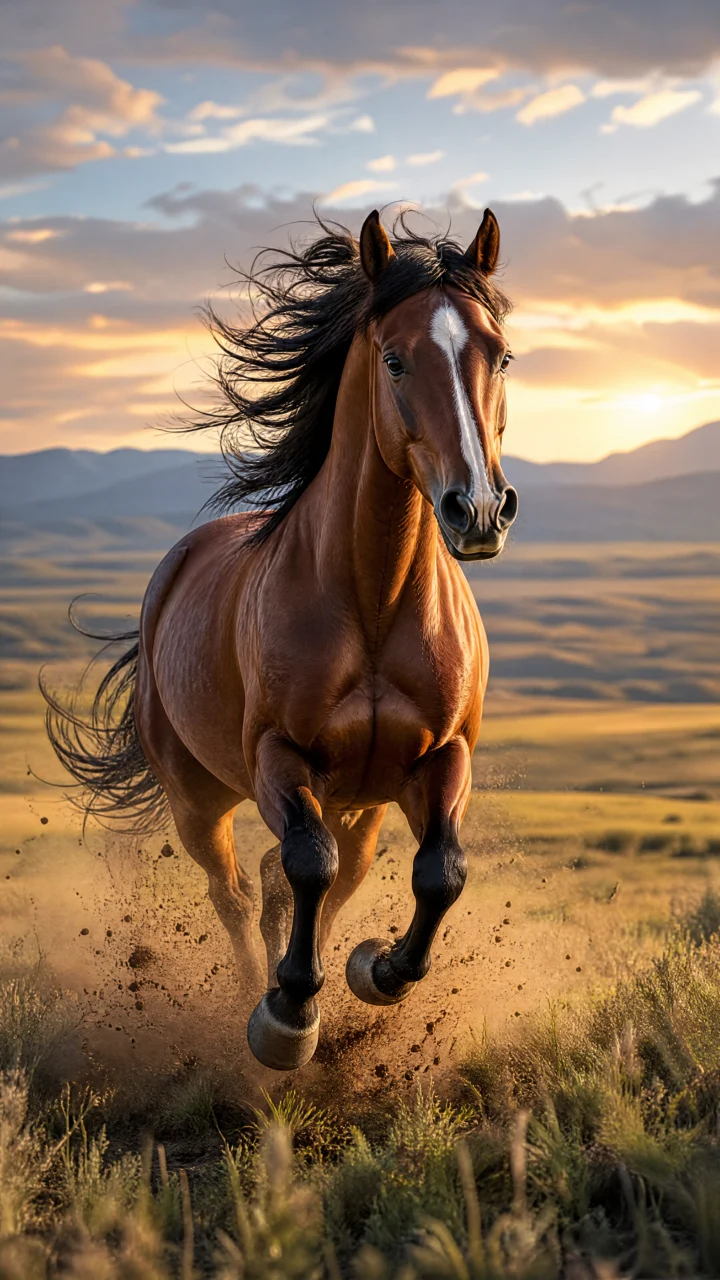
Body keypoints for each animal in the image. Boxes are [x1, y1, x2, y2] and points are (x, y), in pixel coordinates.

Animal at [43, 208, 517, 1071]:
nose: (479, 511)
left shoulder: (443, 756)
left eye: (500, 355)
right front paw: (287, 1016)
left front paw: (376, 971)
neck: (373, 601)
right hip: (198, 798)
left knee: (307, 881)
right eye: (395, 358)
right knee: (235, 890)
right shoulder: (280, 756)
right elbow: (306, 863)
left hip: (360, 804)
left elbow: (439, 872)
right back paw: (252, 993)